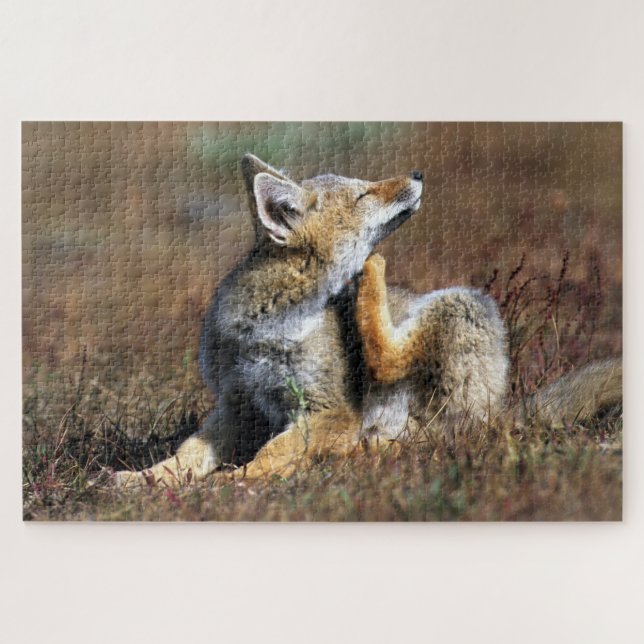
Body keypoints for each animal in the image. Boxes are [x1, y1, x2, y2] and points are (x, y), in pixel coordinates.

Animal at [115, 154, 622, 488]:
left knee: (410, 394)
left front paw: (241, 478)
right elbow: (189, 452)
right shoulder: (238, 403)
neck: (268, 330)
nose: (418, 173)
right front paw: (147, 479)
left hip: (466, 304)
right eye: (364, 193)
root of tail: (502, 410)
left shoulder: (332, 410)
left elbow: (272, 450)